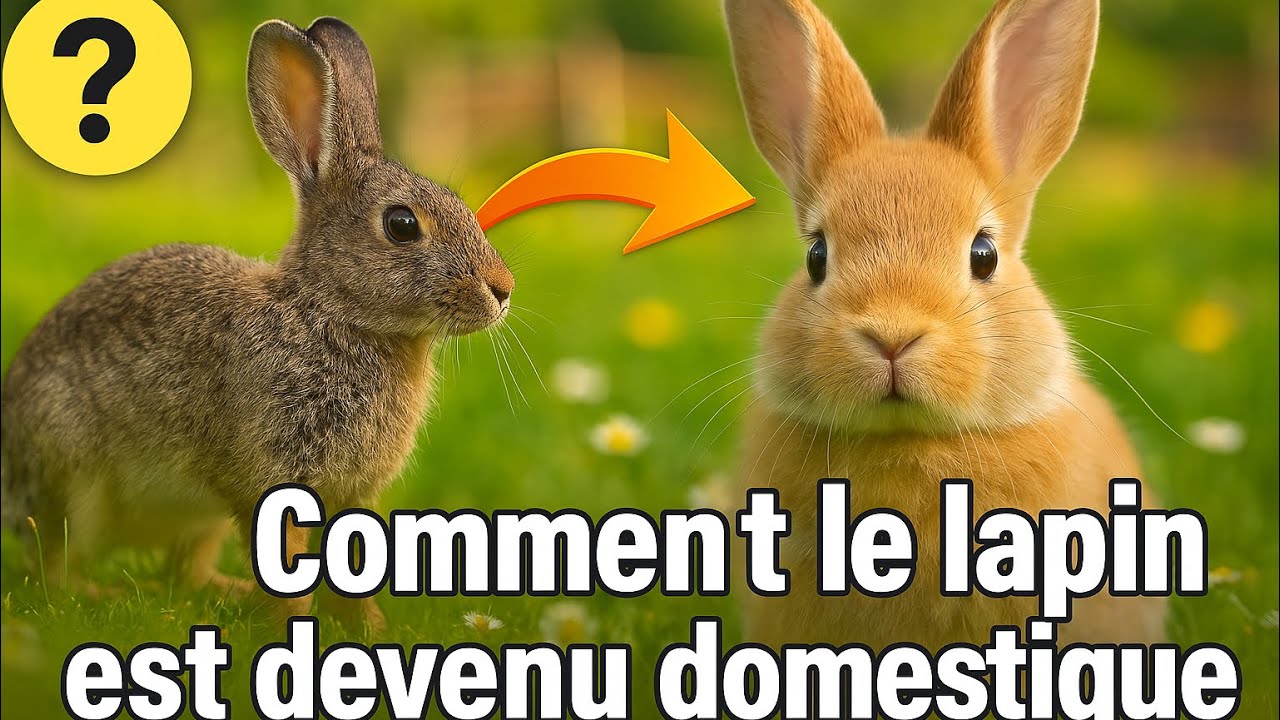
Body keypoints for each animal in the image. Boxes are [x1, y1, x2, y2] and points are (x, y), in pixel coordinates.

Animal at [0, 17, 513, 630]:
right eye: (402, 224)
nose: (503, 289)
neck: (328, 311)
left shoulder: (353, 494)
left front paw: (371, 630)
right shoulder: (271, 477)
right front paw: (294, 627)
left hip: (200, 520)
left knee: (183, 571)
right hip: (69, 478)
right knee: (52, 564)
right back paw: (101, 596)